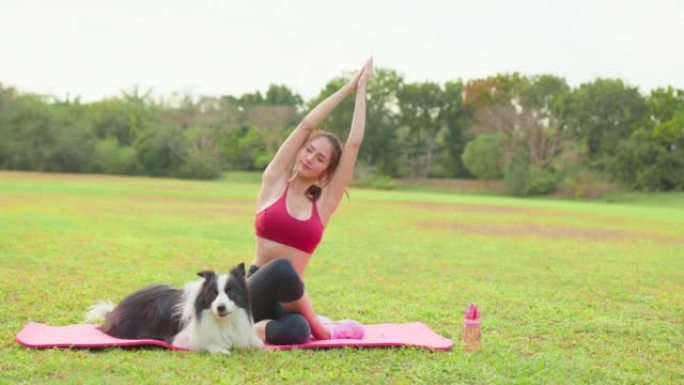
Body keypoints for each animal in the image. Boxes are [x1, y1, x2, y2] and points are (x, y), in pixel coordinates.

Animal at [85, 260, 262, 354]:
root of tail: (113, 311)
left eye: (231, 292)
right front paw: (220, 350)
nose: (221, 308)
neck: (221, 321)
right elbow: (205, 342)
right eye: (213, 293)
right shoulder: (181, 339)